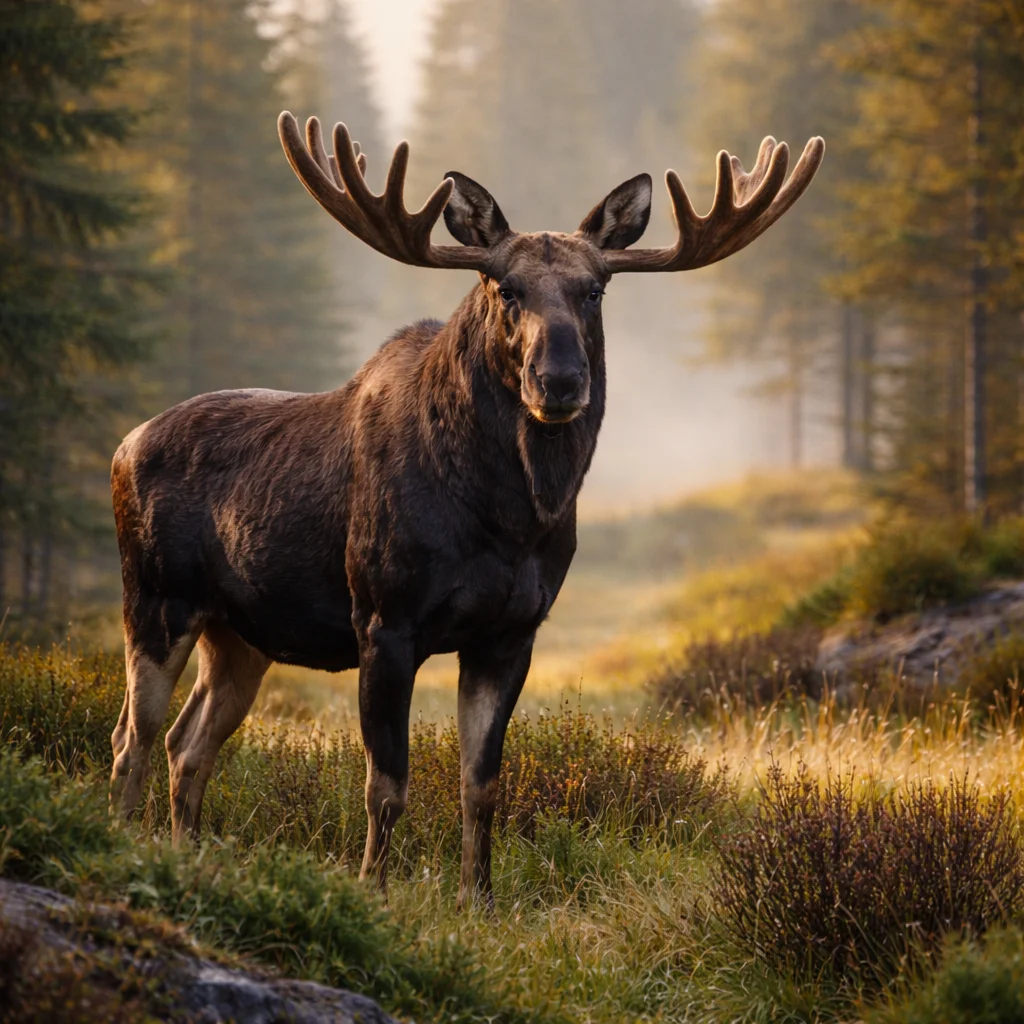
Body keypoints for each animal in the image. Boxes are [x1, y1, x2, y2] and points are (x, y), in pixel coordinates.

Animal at [109, 110, 824, 907]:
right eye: (504, 286)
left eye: (596, 290)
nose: (560, 379)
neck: (506, 521)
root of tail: (123, 446)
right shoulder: (383, 620)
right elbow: (385, 784)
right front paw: (373, 891)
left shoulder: (510, 631)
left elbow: (481, 785)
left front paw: (477, 899)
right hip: (157, 601)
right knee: (132, 739)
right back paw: (124, 845)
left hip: (240, 635)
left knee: (187, 744)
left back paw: (186, 853)